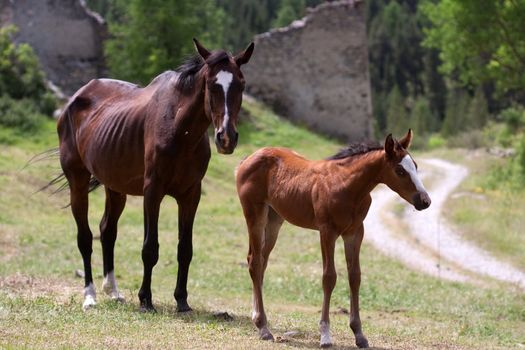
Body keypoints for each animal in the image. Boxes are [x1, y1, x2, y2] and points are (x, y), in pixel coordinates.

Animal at [57, 38, 254, 312]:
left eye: (241, 84)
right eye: (211, 84)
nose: (226, 138)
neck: (179, 130)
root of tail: (75, 99)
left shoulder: (190, 195)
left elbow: (185, 249)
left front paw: (182, 300)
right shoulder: (153, 192)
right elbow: (150, 248)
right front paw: (145, 299)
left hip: (115, 187)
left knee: (107, 231)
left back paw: (113, 291)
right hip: (78, 182)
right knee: (85, 238)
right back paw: (90, 296)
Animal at [234, 130, 430, 348]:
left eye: (416, 166)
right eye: (400, 170)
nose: (424, 201)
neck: (347, 186)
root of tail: (247, 159)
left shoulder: (355, 232)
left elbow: (355, 276)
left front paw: (359, 334)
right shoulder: (327, 231)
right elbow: (329, 277)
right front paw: (325, 335)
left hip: (275, 219)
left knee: (259, 261)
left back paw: (256, 318)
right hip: (255, 214)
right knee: (255, 262)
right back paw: (263, 327)